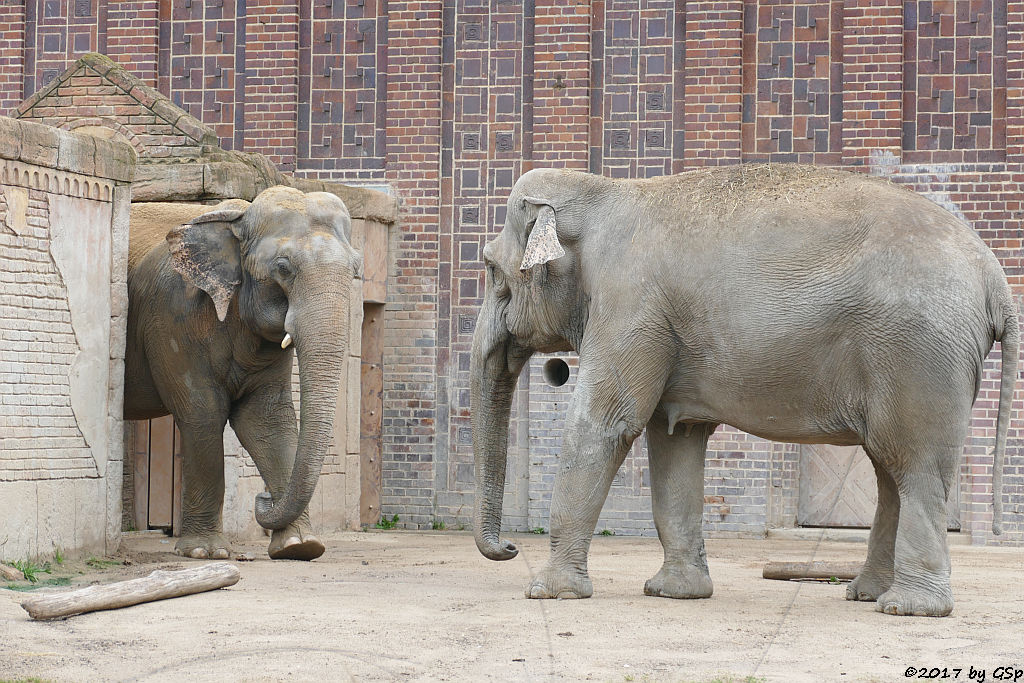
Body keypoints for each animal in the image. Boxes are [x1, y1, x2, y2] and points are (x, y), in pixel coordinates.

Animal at [126, 185, 362, 561]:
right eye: (283, 268)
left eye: (355, 270)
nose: (262, 498)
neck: (237, 220)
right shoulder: (170, 316)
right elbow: (203, 412)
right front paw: (205, 553)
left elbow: (266, 419)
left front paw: (300, 546)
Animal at [471, 162, 1015, 618]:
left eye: (492, 269)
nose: (508, 548)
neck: (601, 189)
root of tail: (995, 276)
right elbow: (676, 438)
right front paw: (673, 593)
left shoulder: (630, 305)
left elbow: (604, 423)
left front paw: (547, 592)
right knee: (889, 469)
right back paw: (867, 594)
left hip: (918, 355)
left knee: (916, 465)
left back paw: (909, 608)